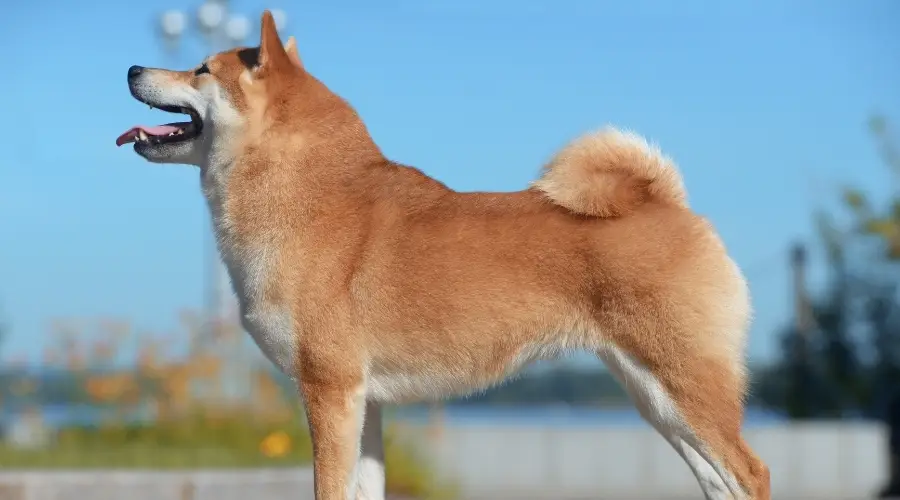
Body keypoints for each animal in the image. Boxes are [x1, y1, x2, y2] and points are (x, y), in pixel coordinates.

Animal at [116, 10, 768, 500]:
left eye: (201, 68)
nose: (131, 67)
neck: (304, 193)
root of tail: (669, 203)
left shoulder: (330, 390)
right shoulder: (365, 403)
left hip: (682, 385)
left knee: (750, 473)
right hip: (654, 397)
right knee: (720, 481)